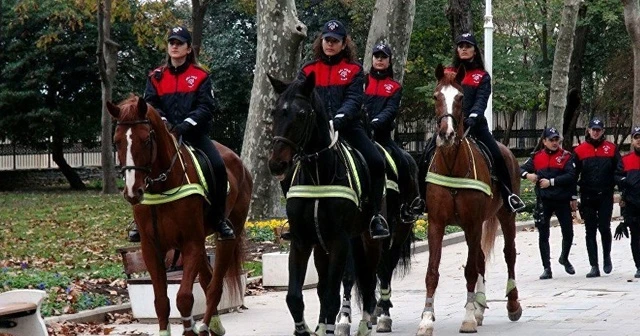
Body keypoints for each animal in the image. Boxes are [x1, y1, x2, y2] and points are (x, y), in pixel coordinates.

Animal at [109, 95, 251, 336]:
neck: (163, 186)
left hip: (228, 235)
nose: (132, 191)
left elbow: (184, 298)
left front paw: (189, 329)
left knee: (215, 286)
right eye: (117, 141)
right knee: (207, 280)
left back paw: (206, 325)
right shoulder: (152, 248)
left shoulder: (191, 243)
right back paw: (211, 324)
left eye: (146, 140)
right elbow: (161, 301)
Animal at [268, 72, 382, 334]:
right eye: (274, 112)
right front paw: (304, 329)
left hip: (366, 238)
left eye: (301, 114)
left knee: (368, 279)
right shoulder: (301, 241)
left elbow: (331, 295)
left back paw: (364, 323)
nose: (276, 164)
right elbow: (295, 297)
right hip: (323, 245)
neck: (318, 174)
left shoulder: (339, 241)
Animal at [418, 65, 524, 336]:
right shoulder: (437, 224)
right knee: (481, 260)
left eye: (460, 97)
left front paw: (466, 318)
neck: (452, 165)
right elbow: (432, 271)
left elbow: (469, 270)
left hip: (505, 216)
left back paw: (512, 304)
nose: (446, 134)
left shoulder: (473, 224)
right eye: (435, 96)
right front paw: (427, 319)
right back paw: (479, 308)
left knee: (509, 254)